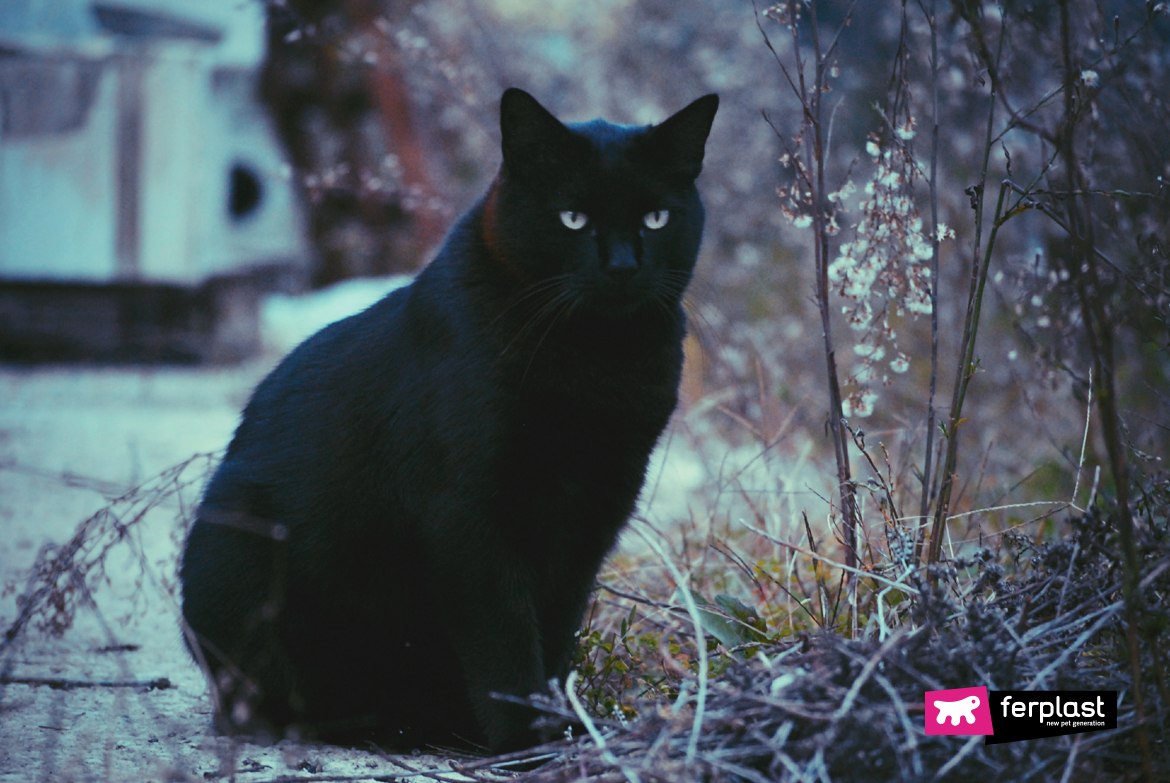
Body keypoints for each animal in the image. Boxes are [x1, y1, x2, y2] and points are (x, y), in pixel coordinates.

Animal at [177, 87, 716, 749]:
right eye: (573, 218)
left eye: (656, 219)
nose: (620, 266)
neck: (593, 364)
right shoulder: (468, 517)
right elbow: (505, 639)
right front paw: (527, 738)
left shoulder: (592, 515)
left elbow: (556, 630)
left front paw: (560, 725)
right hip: (234, 544)